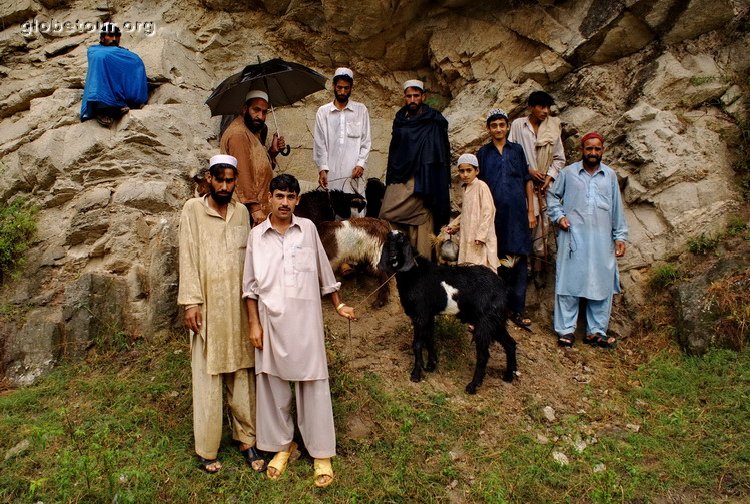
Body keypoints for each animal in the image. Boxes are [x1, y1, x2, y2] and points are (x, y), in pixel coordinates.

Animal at [382, 230, 516, 392]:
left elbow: (417, 344)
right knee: (510, 343)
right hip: (496, 320)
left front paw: (416, 374)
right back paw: (508, 376)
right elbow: (429, 338)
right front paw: (431, 365)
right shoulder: (428, 315)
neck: (415, 273)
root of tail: (503, 286)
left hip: (485, 322)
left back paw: (472, 386)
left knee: (484, 355)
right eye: (388, 239)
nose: (392, 255)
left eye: (402, 240)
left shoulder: (420, 315)